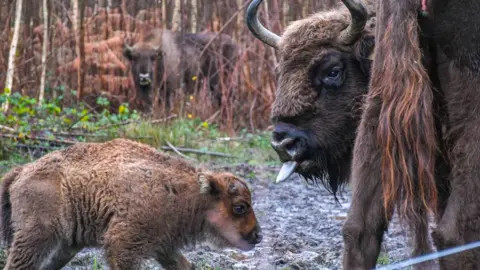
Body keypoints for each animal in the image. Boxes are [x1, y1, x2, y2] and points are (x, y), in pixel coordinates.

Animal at [0, 139, 262, 270]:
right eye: (240, 206)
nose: (258, 235)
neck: (190, 193)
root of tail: (22, 170)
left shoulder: (164, 246)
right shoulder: (124, 244)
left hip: (65, 246)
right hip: (37, 236)